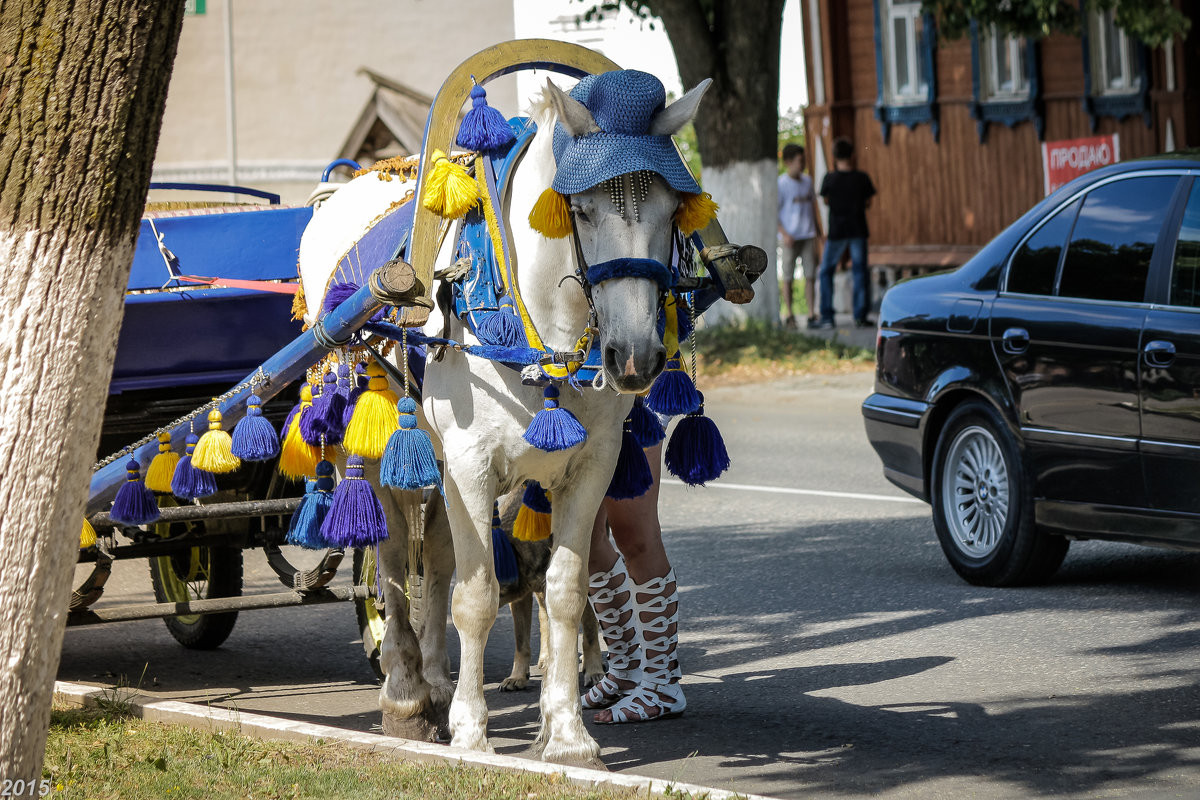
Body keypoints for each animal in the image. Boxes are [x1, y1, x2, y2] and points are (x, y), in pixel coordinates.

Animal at [302, 76, 710, 767]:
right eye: (583, 210)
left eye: (672, 210)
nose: (634, 356)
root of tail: (352, 183)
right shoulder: (471, 464)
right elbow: (477, 596)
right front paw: (471, 731)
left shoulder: (590, 466)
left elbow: (566, 594)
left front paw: (567, 734)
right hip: (385, 448)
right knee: (392, 561)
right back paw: (407, 695)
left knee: (437, 562)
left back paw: (438, 681)